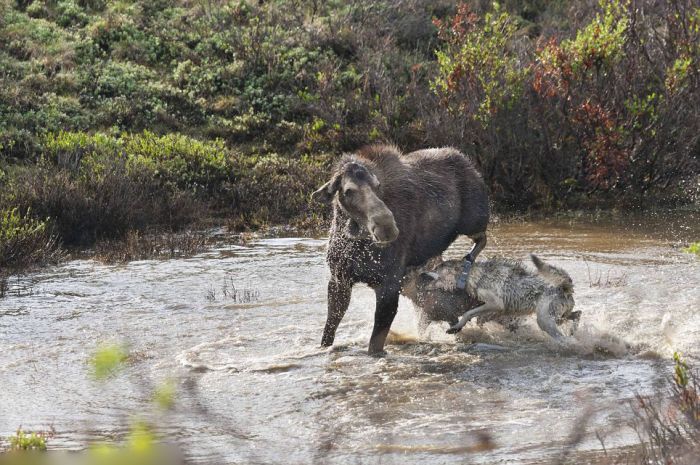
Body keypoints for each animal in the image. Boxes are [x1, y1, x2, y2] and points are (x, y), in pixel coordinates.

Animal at [312, 143, 486, 354]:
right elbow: (328, 332)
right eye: (348, 191)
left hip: (473, 221)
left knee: (481, 239)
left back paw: (466, 266)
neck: (357, 244)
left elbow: (375, 345)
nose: (387, 227)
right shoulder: (339, 279)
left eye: (378, 186)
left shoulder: (389, 284)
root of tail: (467, 162)